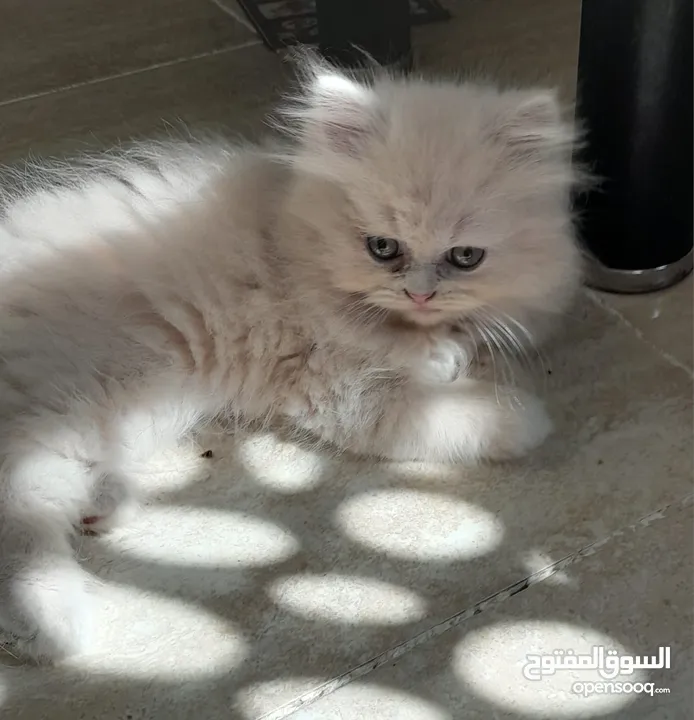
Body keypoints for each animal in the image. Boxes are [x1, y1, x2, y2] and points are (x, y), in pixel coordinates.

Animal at [0, 59, 580, 660]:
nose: (420, 294)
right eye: (382, 248)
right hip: (55, 406)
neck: (285, 235)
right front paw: (514, 408)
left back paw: (103, 507)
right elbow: (451, 405)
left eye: (465, 257)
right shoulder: (338, 387)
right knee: (17, 518)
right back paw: (52, 626)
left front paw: (457, 344)